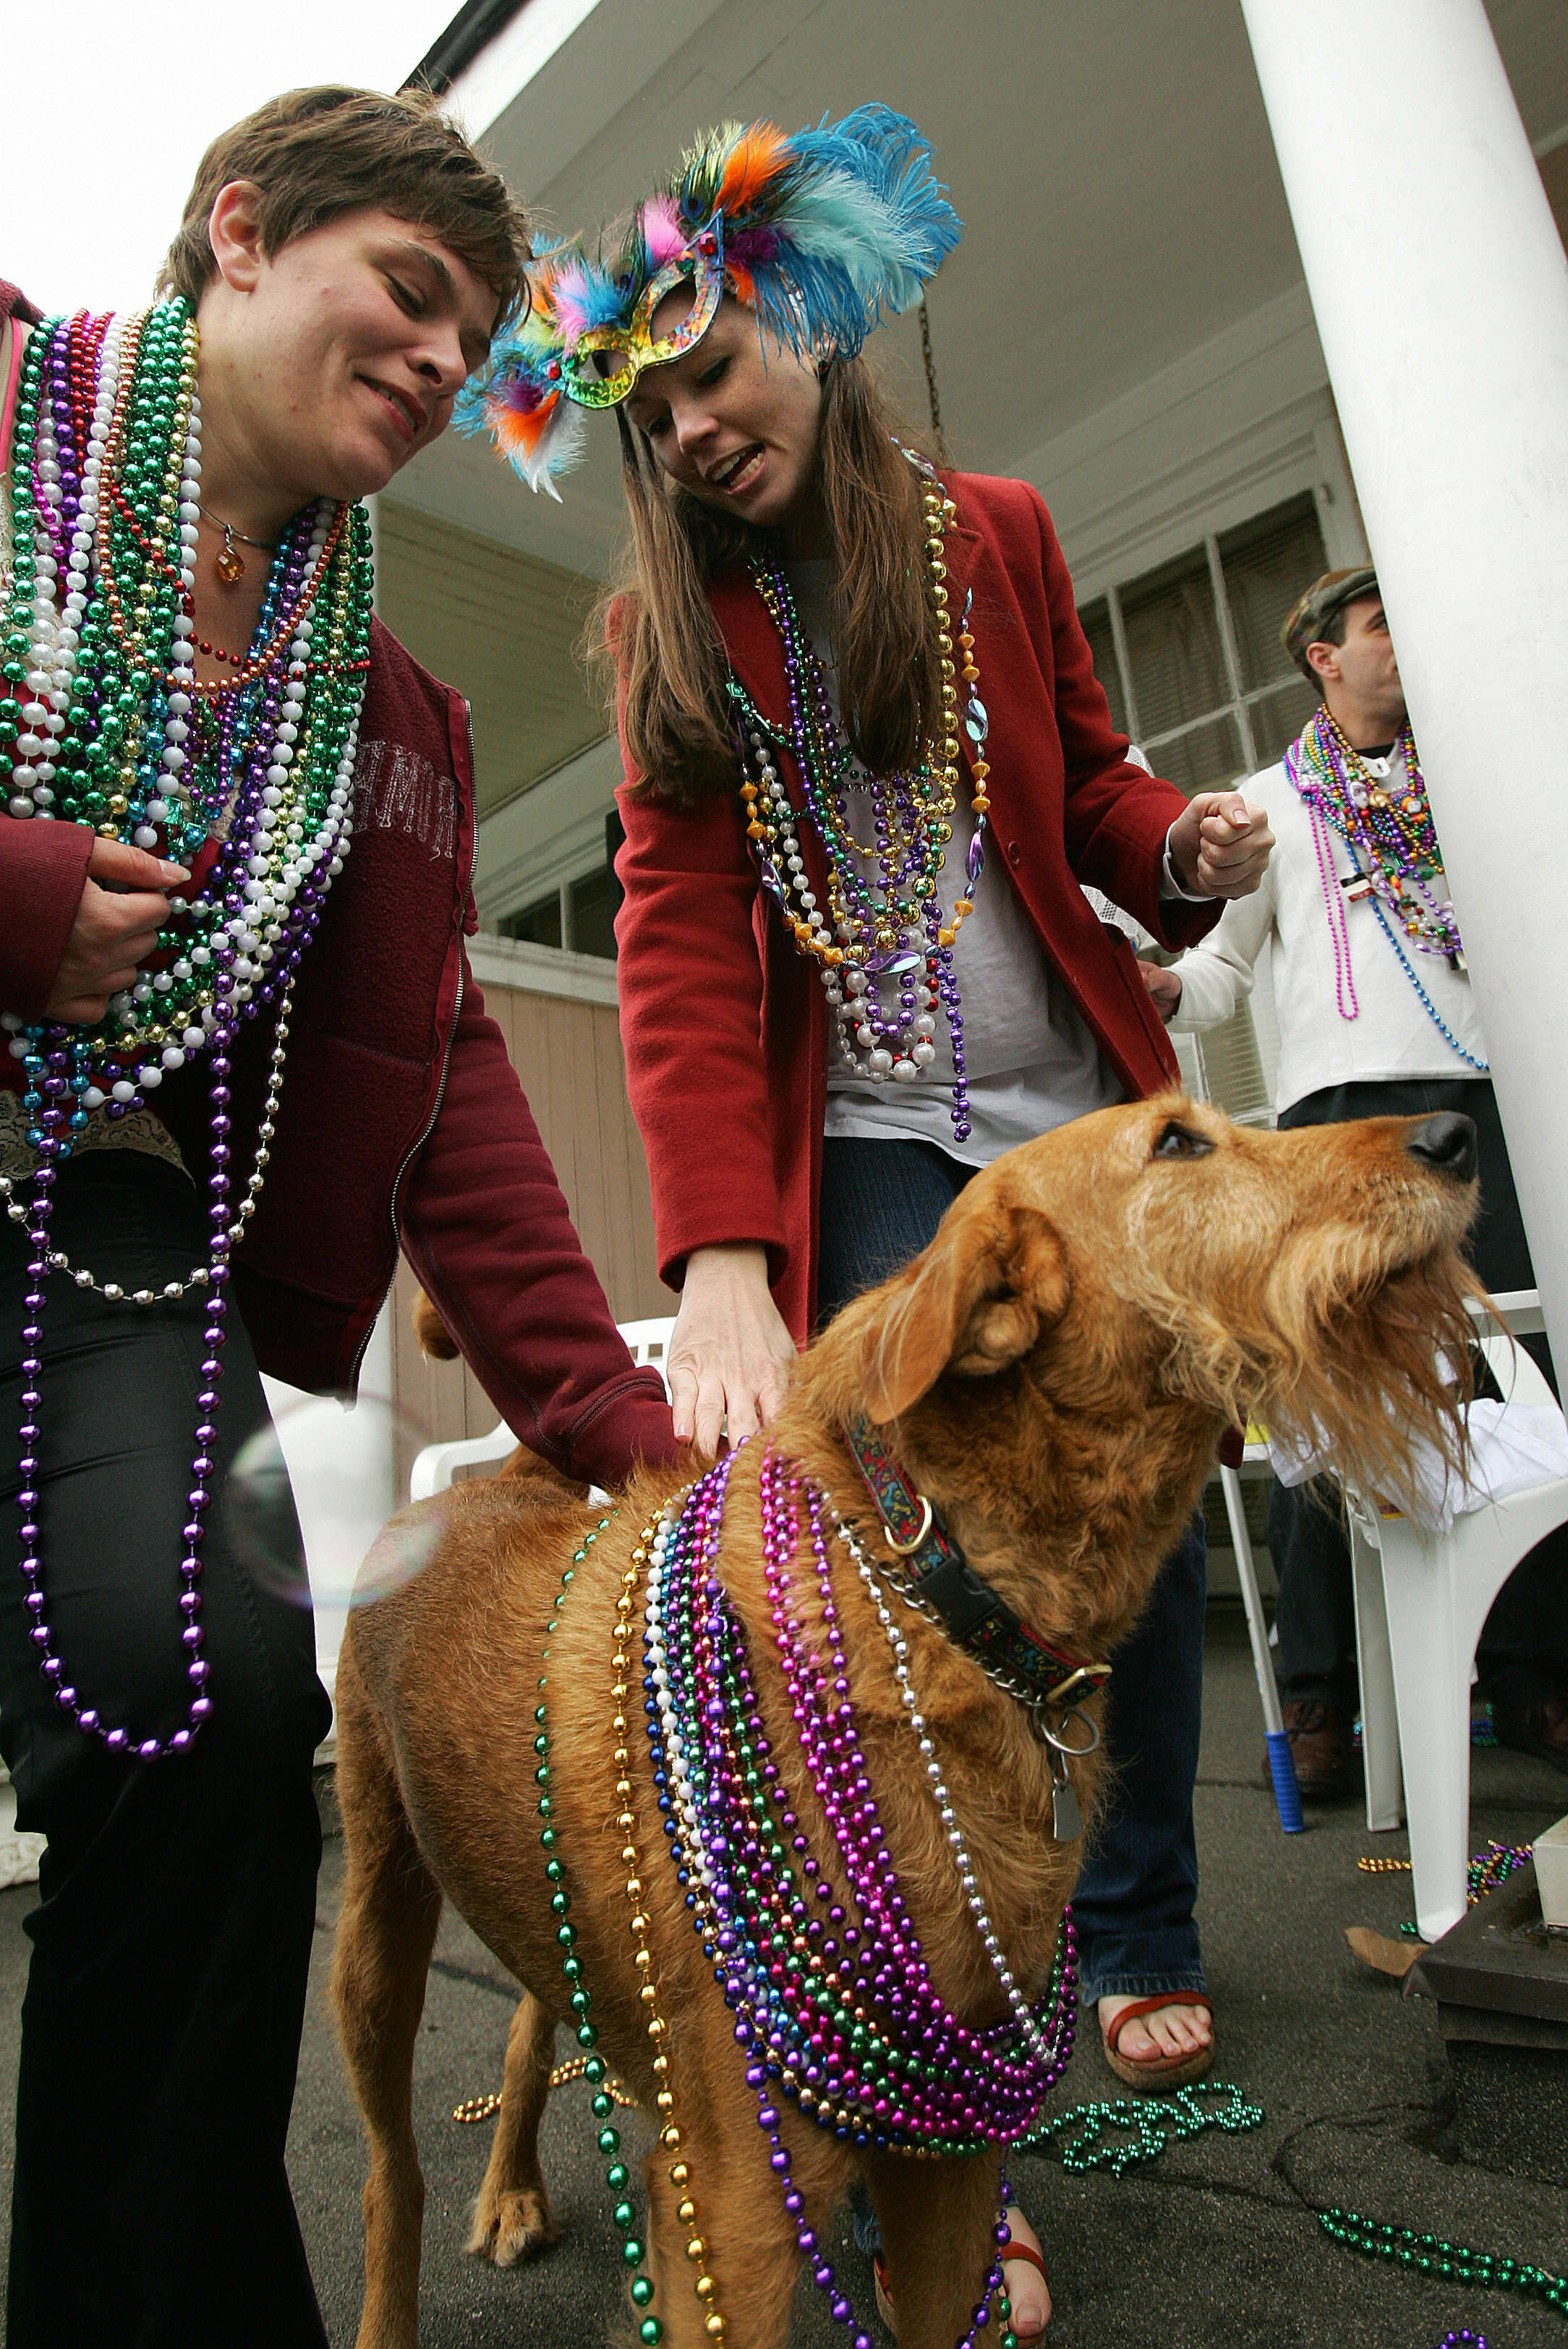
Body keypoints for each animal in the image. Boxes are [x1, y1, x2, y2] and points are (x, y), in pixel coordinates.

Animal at [331, 1094, 1486, 2349]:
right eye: (1177, 1143)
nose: (1454, 1135)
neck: (934, 1588)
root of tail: (493, 1489)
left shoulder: (948, 2166)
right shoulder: (731, 2222)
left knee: (531, 2021)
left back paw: (513, 2190)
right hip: (374, 1938)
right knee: (389, 2177)